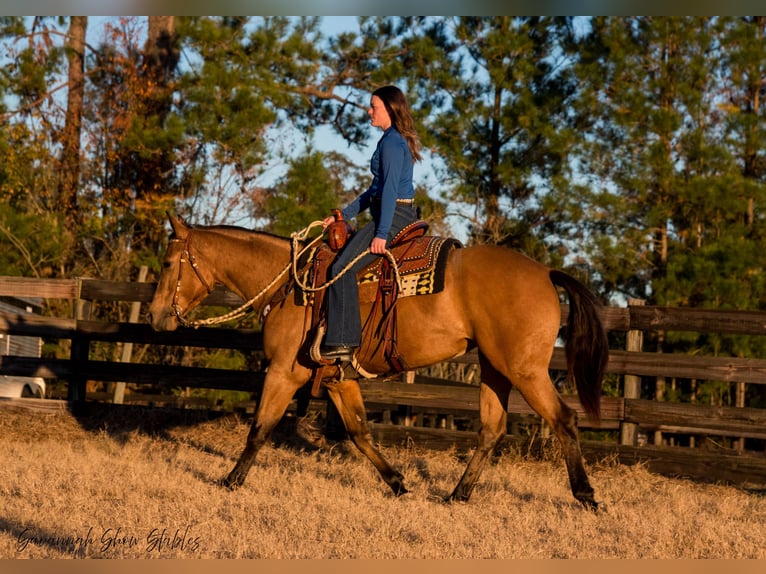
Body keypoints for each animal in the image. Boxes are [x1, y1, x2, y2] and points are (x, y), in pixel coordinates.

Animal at [147, 217, 608, 512]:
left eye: (168, 264)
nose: (155, 316)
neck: (292, 284)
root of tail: (546, 272)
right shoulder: (338, 379)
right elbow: (359, 432)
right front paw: (398, 483)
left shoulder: (283, 373)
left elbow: (259, 429)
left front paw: (230, 481)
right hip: (496, 368)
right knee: (492, 430)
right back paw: (457, 495)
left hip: (524, 369)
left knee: (563, 419)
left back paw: (586, 495)